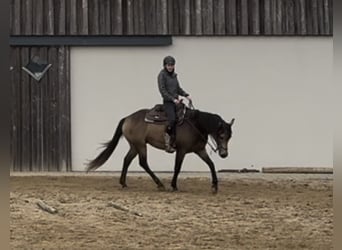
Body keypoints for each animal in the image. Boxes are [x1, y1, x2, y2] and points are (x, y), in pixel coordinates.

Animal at [86, 104, 235, 193]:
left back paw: (123, 183)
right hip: (141, 145)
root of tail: (127, 118)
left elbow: (211, 164)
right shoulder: (181, 150)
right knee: (143, 162)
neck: (195, 124)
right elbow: (177, 167)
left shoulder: (200, 150)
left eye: (230, 137)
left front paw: (215, 186)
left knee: (127, 160)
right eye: (221, 135)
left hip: (134, 146)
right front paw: (174, 185)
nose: (224, 154)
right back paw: (160, 184)